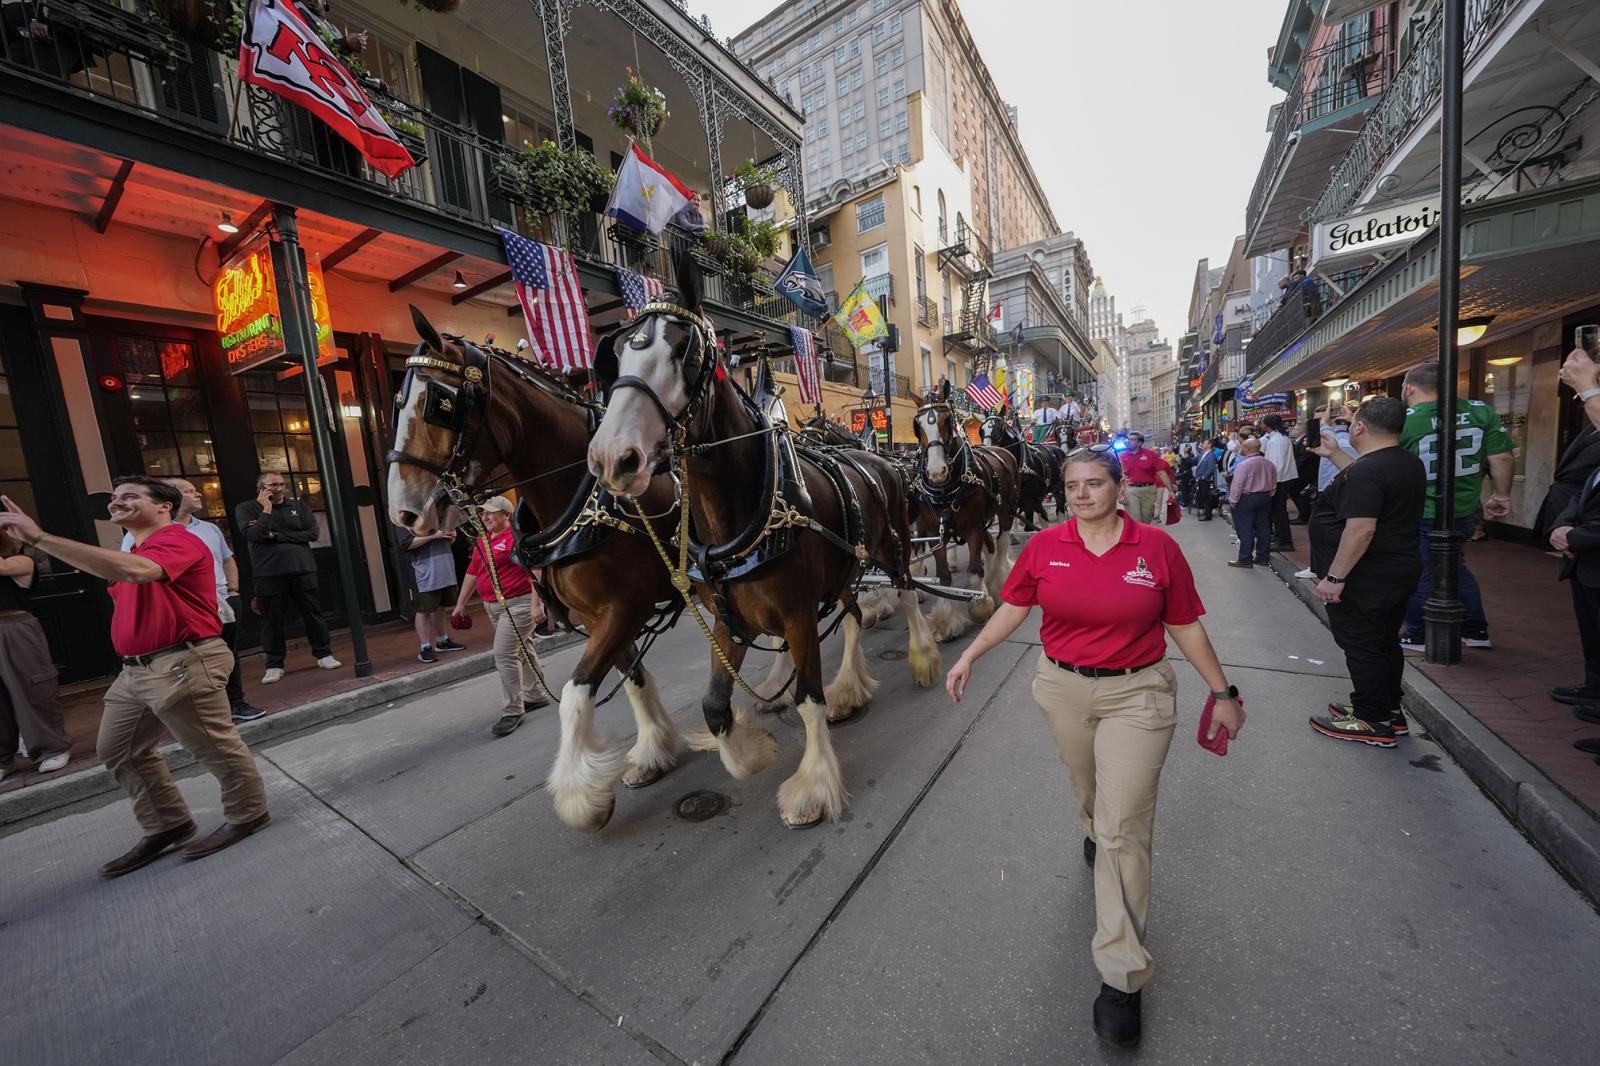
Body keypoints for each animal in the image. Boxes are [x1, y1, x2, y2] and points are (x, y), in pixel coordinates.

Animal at [392, 305, 688, 832]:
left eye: (439, 404)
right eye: (395, 403)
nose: (402, 513)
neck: (579, 495)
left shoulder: (624, 607)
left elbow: (574, 692)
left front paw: (582, 798)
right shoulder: (600, 614)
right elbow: (632, 677)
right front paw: (654, 752)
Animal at [585, 256, 934, 819]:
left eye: (685, 351)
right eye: (616, 356)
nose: (612, 457)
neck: (742, 511)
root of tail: (878, 457)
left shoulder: (797, 615)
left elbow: (808, 699)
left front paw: (812, 786)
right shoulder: (729, 619)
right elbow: (713, 705)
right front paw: (750, 752)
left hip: (893, 545)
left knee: (904, 591)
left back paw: (923, 656)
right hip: (847, 565)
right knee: (853, 615)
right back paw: (850, 689)